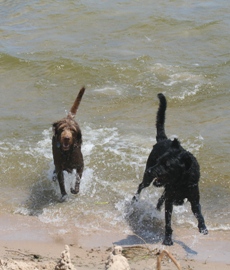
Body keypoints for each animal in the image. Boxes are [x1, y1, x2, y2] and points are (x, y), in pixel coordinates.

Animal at [132, 94, 208, 246]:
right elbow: (168, 222)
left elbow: (199, 213)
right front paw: (167, 239)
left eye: (166, 165)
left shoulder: (194, 198)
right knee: (141, 186)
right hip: (148, 180)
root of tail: (163, 139)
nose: (149, 171)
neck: (181, 181)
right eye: (159, 161)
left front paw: (203, 227)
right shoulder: (170, 200)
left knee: (160, 198)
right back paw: (135, 199)